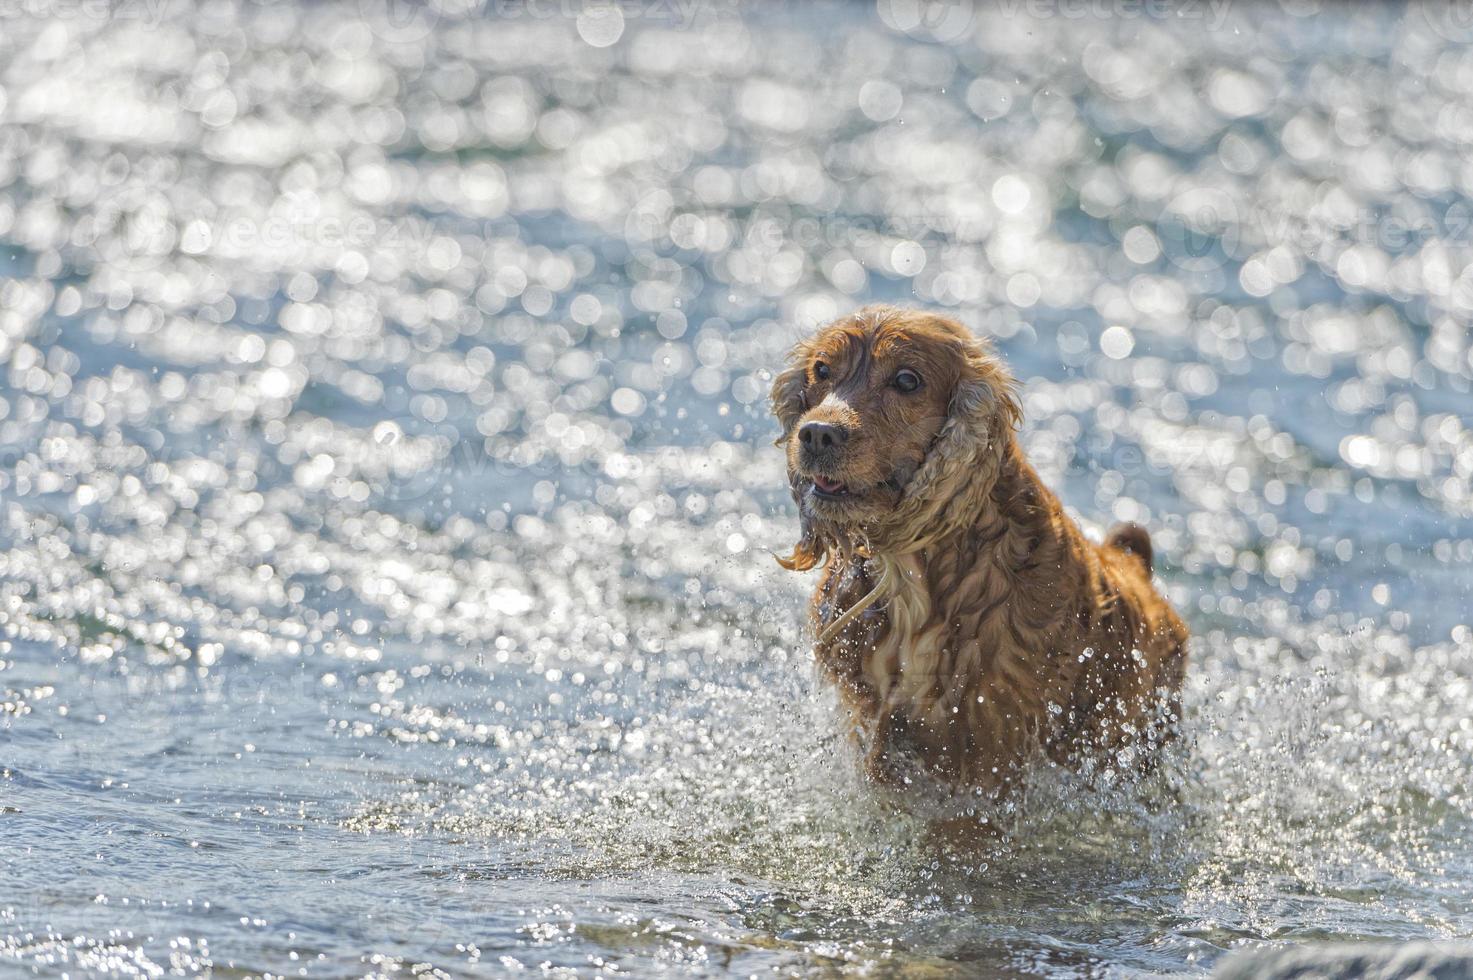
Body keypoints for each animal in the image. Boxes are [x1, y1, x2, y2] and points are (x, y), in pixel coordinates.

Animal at [771, 306, 1184, 795]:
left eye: (907, 380)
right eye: (821, 370)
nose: (816, 434)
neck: (911, 570)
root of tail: (1138, 565)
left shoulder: (989, 746)